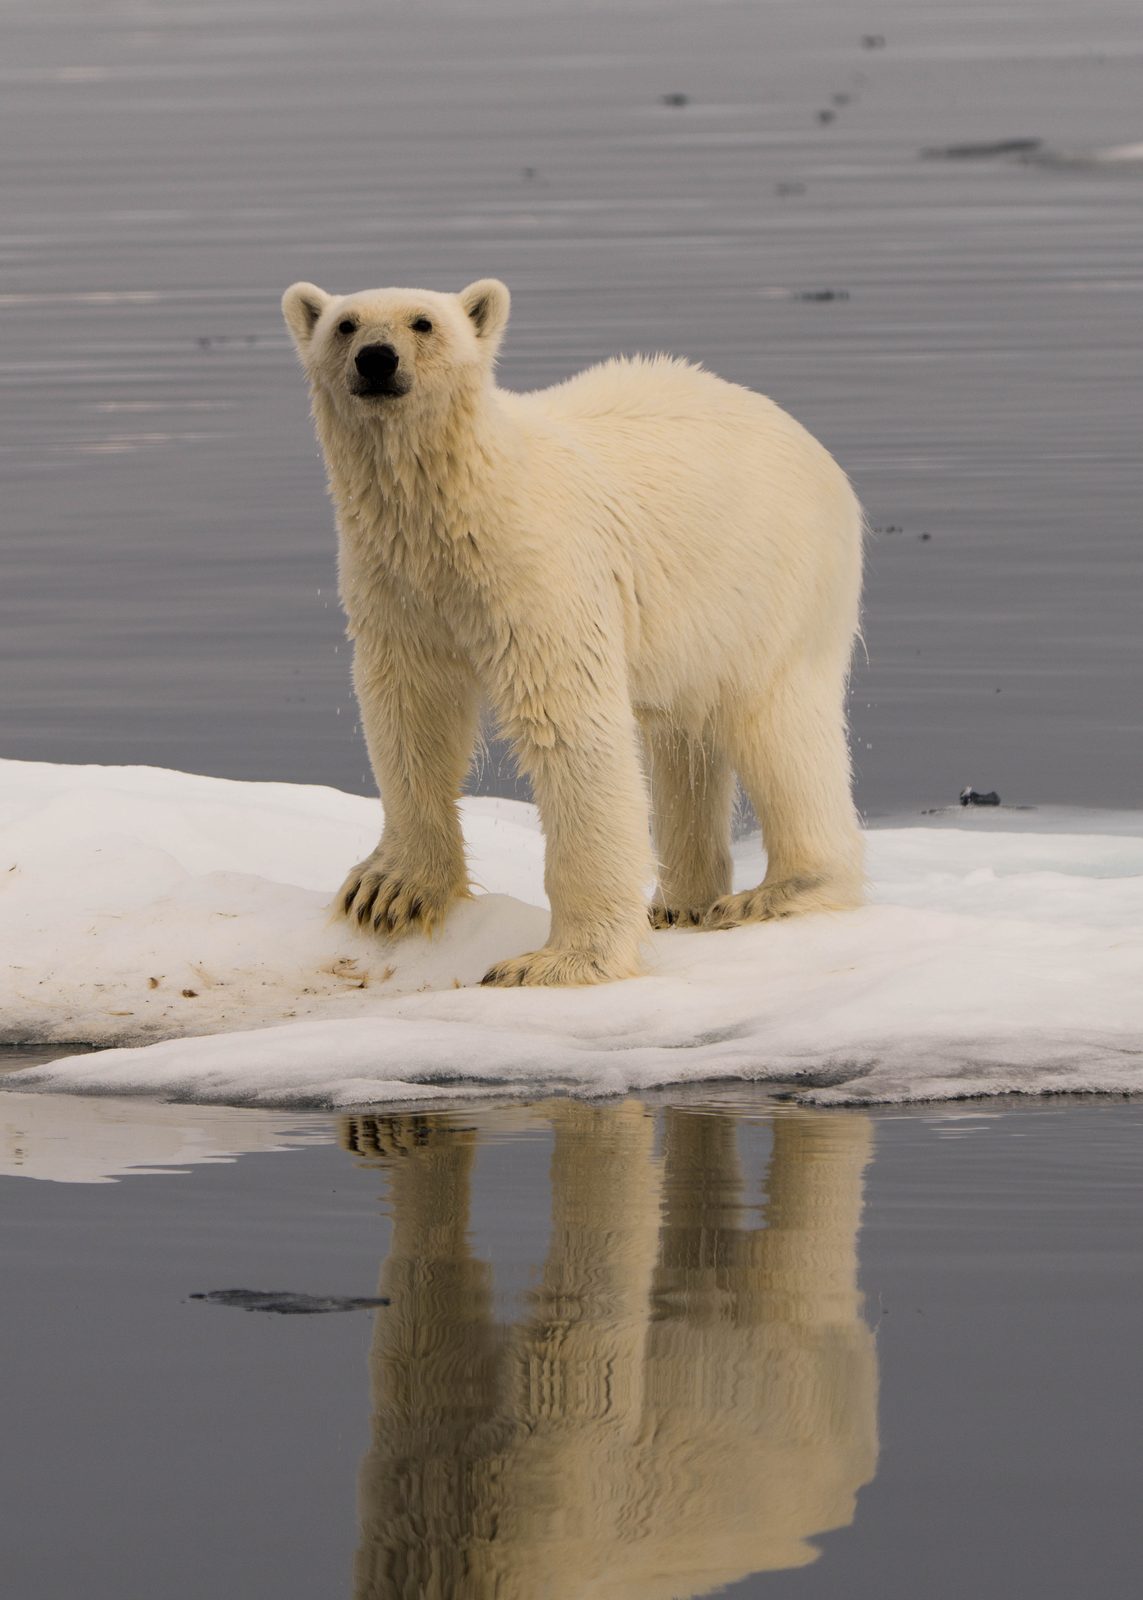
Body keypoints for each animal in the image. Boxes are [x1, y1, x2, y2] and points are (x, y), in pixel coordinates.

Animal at [282, 277, 864, 987]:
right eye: (345, 325)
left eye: (423, 323)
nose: (376, 359)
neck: (463, 504)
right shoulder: (400, 587)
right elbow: (410, 710)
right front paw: (390, 892)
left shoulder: (539, 572)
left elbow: (569, 723)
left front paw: (559, 961)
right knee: (685, 740)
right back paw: (679, 903)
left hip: (772, 588)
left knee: (779, 728)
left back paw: (778, 892)